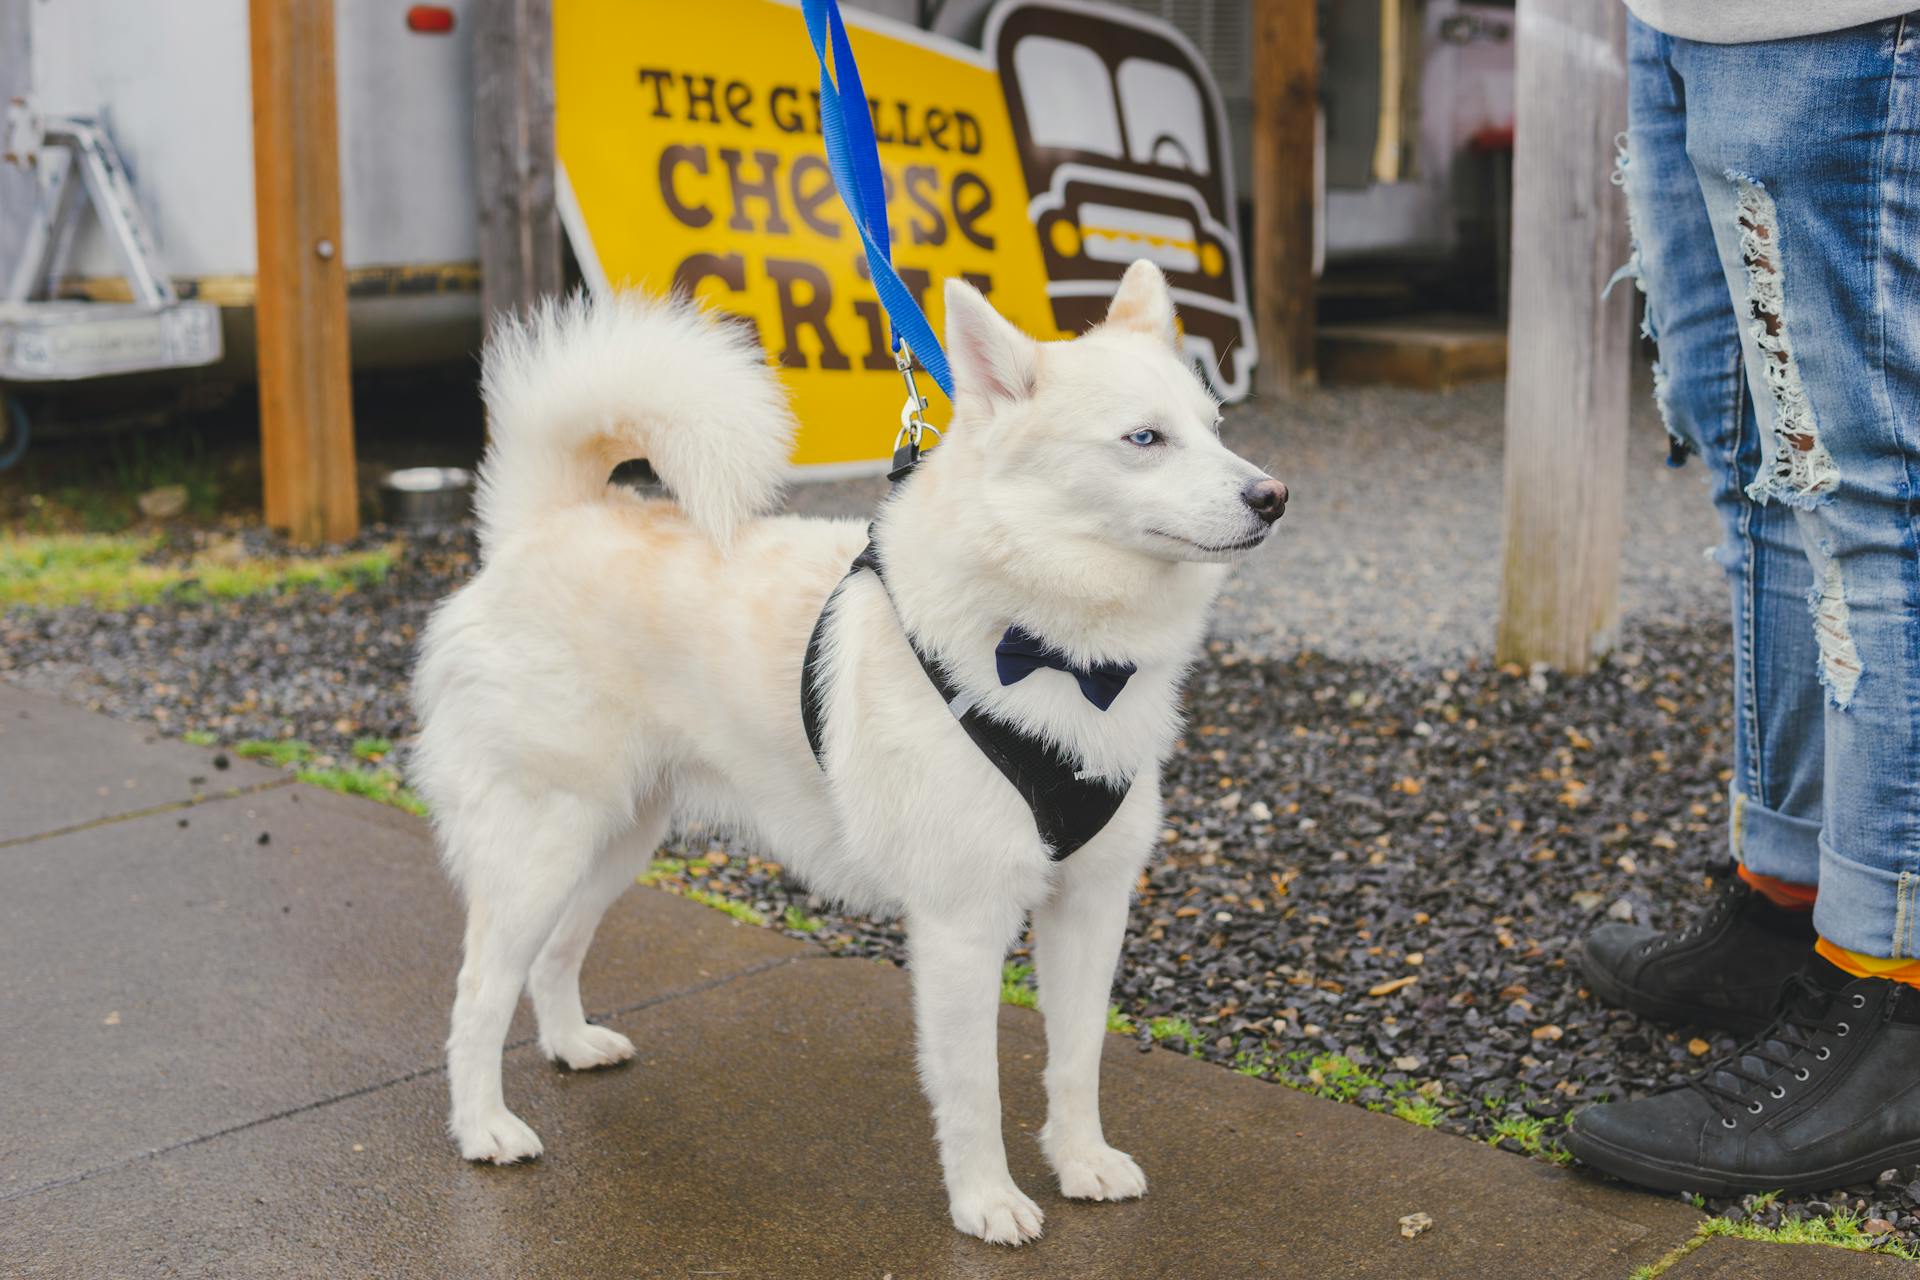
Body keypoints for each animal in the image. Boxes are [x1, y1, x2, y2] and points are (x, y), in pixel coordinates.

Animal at [418, 260, 1290, 1243]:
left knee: (556, 953)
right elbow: (974, 1088)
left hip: (616, 841)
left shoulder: (1092, 904)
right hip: (543, 844)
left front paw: (1081, 1163)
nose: (1272, 496)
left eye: (1216, 427)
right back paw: (484, 1128)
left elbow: (1076, 1060)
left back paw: (571, 1046)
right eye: (1145, 438)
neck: (1053, 649)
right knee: (479, 991)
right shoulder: (961, 924)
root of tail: (544, 522)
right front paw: (987, 1203)